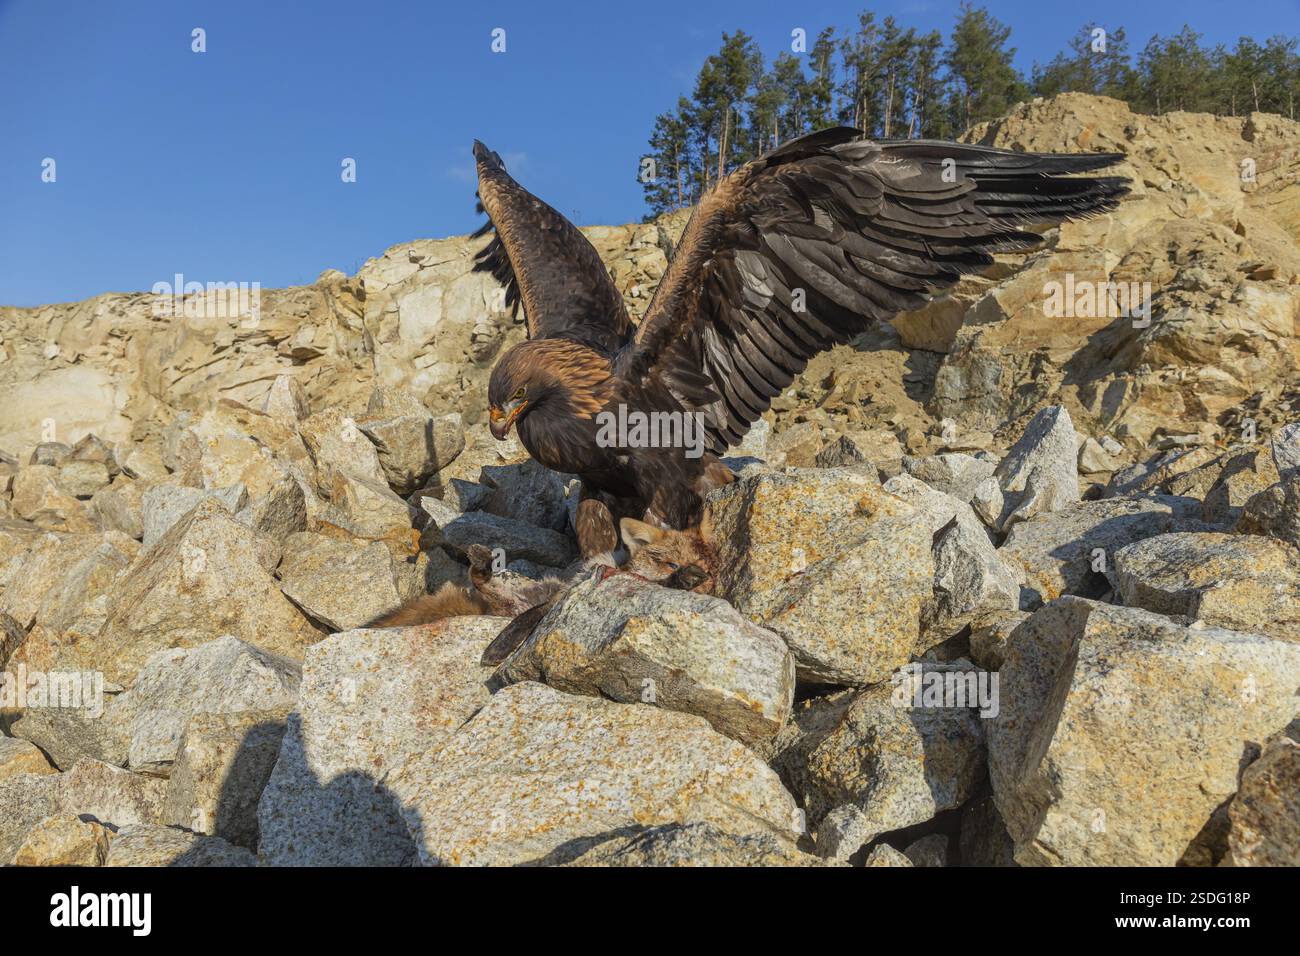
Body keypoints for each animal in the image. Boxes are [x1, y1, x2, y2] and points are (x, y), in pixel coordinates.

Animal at [366, 517, 716, 664]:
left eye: (713, 574)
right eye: (669, 562)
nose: (700, 580)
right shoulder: (570, 589)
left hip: (507, 603)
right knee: (486, 583)